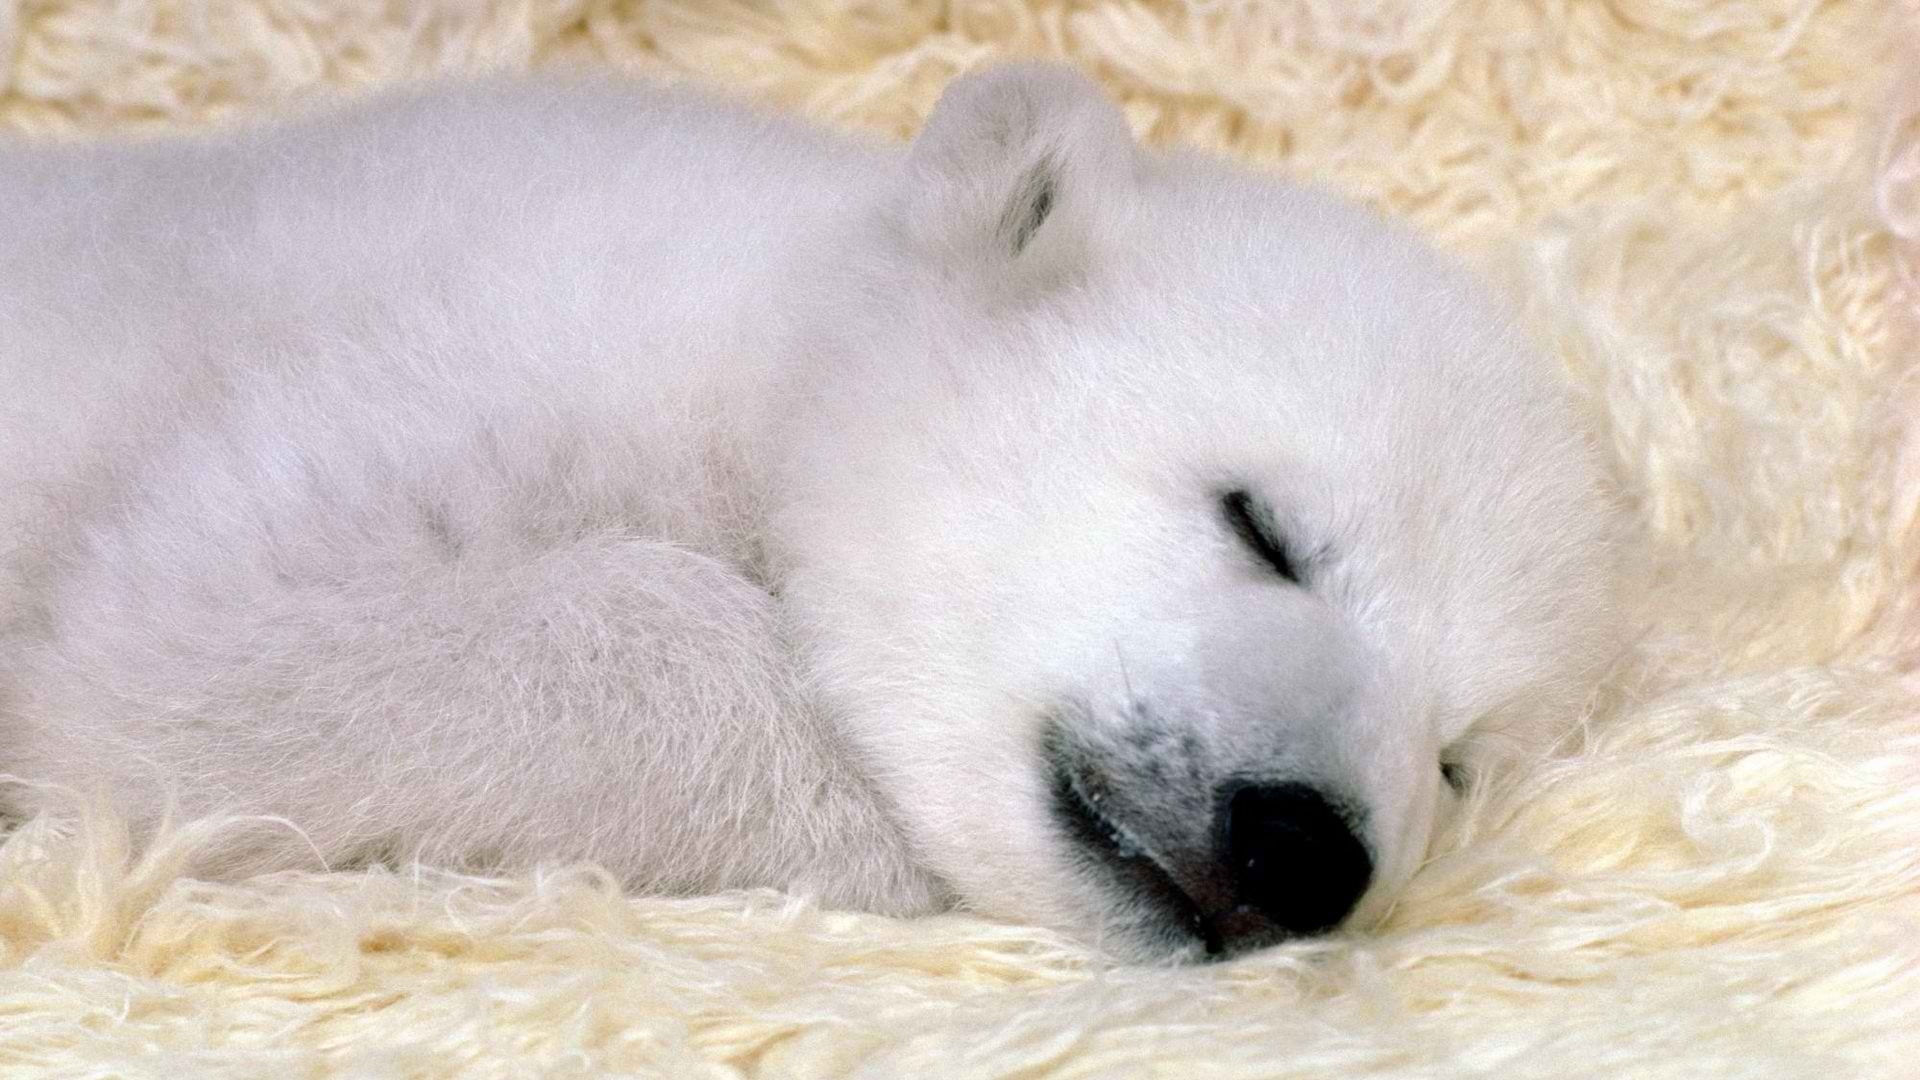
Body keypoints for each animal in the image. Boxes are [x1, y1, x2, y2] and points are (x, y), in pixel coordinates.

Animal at [0, 64, 1617, 961]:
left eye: (1459, 756)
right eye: (1263, 525)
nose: (1303, 848)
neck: (774, 313)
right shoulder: (488, 344)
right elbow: (196, 637)